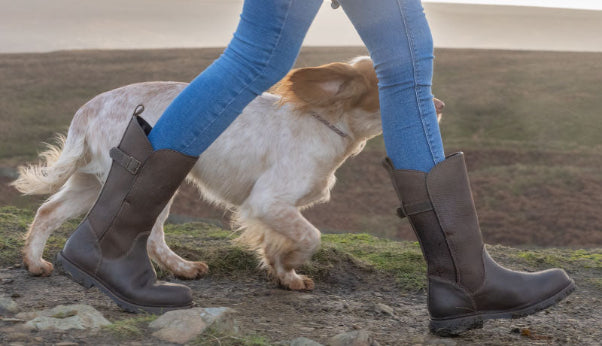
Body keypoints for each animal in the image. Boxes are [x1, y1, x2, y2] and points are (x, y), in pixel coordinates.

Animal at [11, 56, 442, 290]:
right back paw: (178, 269)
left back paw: (35, 263)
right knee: (149, 235)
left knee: (47, 211)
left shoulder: (274, 210)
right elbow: (311, 236)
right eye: (394, 86)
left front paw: (285, 274)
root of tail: (89, 108)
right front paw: (290, 262)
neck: (327, 123)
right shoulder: (268, 201)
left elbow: (278, 244)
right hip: (148, 181)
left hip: (93, 180)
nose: (437, 105)